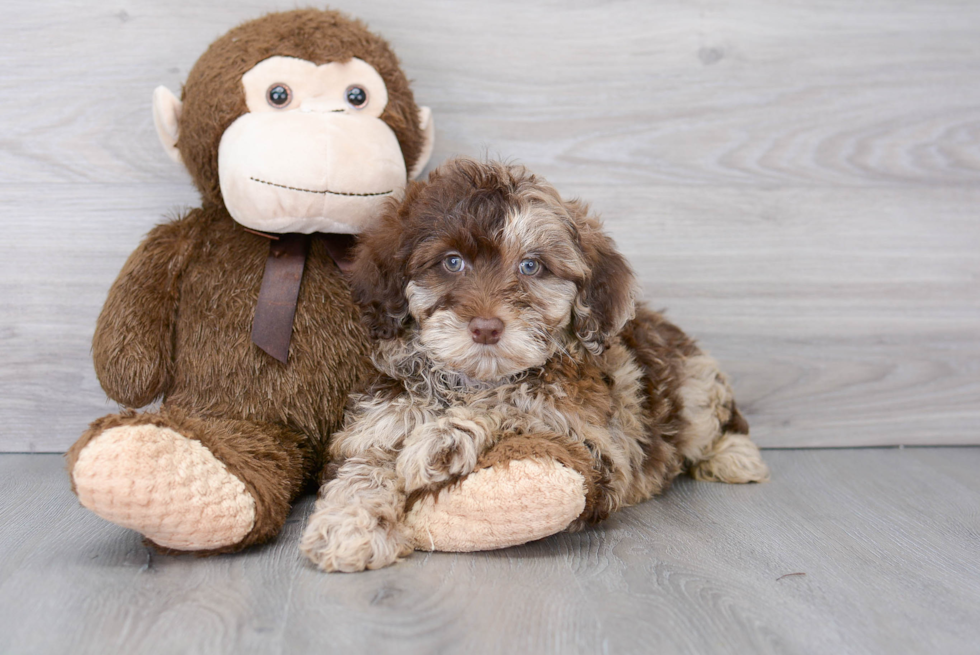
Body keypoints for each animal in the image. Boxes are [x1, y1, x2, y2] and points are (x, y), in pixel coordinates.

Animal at [302, 160, 768, 576]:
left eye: (531, 266)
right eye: (452, 262)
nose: (486, 327)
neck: (467, 382)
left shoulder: (597, 444)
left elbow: (515, 405)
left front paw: (441, 439)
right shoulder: (375, 425)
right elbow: (361, 469)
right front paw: (349, 529)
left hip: (693, 382)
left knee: (713, 419)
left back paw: (735, 457)